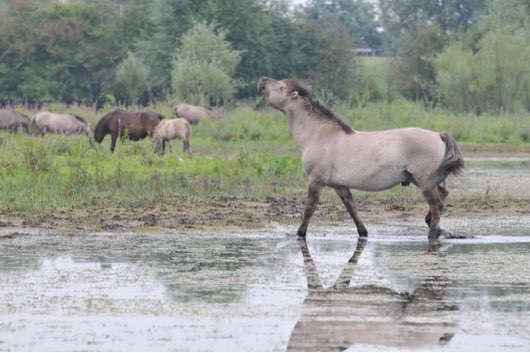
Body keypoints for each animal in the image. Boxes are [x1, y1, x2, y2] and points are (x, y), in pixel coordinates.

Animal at [256, 76, 462, 242]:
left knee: (437, 205)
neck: (319, 135)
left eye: (281, 87)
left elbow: (309, 209)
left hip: (424, 181)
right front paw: (363, 233)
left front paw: (300, 233)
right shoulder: (340, 186)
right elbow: (352, 210)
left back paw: (432, 234)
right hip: (421, 180)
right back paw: (437, 228)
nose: (262, 79)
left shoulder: (316, 181)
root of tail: (438, 135)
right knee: (443, 195)